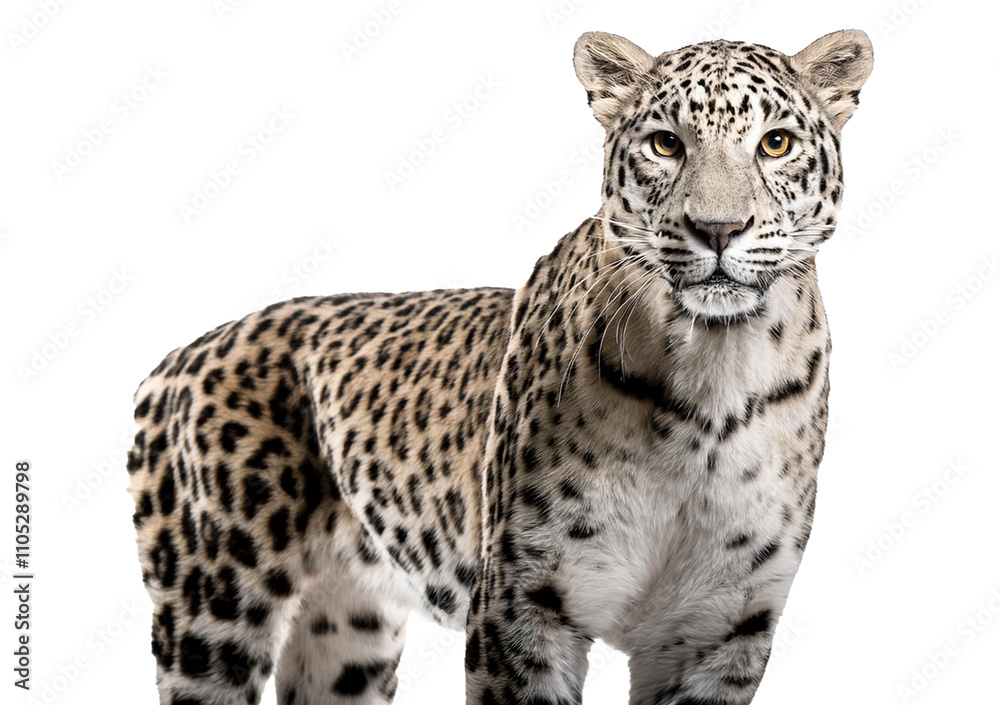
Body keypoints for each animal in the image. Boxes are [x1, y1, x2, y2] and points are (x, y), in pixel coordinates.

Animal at [126, 29, 873, 705]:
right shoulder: (522, 605)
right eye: (666, 143)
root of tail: (174, 359)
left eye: (775, 143)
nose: (718, 229)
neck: (715, 373)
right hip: (212, 610)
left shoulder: (721, 628)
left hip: (348, 635)